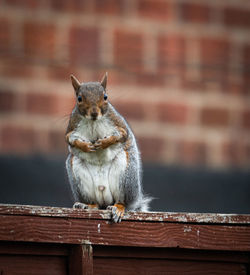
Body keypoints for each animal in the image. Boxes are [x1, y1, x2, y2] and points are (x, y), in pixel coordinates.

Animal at [65, 72, 150, 223]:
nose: (94, 113)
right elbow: (70, 140)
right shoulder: (72, 127)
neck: (93, 122)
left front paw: (104, 142)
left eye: (105, 97)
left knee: (122, 201)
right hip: (79, 177)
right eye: (79, 98)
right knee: (96, 204)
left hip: (125, 176)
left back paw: (118, 208)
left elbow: (121, 135)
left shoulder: (118, 123)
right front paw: (85, 146)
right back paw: (87, 206)